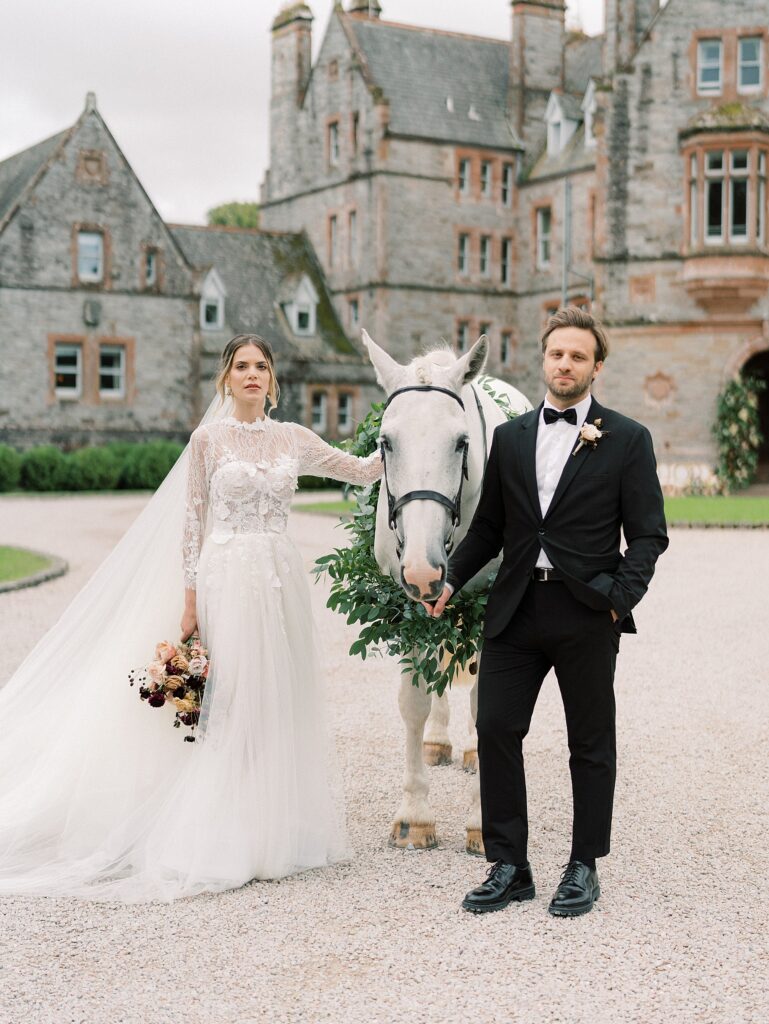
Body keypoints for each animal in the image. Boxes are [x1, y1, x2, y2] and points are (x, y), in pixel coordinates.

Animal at [362, 331, 532, 851]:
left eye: (461, 442)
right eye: (384, 442)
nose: (422, 568)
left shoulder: (490, 607)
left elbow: (485, 704)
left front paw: (482, 820)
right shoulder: (408, 607)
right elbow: (414, 701)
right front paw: (415, 815)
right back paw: (438, 741)